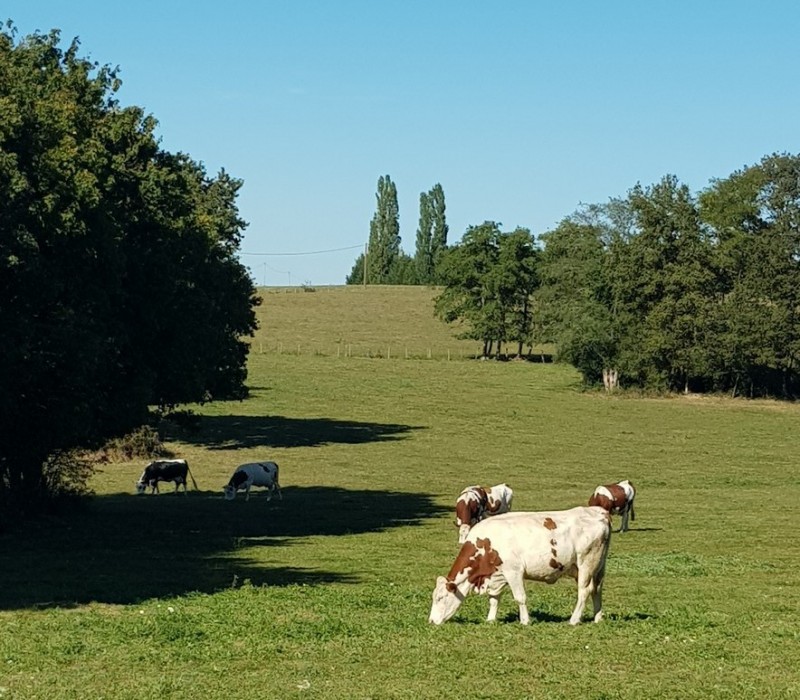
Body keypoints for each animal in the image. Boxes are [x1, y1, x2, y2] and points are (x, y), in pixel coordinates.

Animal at [432, 506, 612, 628]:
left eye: (440, 598)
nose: (431, 621)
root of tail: (598, 511)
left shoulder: (513, 571)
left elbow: (520, 597)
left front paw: (525, 621)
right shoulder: (497, 575)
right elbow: (494, 599)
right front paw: (490, 619)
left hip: (586, 563)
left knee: (584, 591)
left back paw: (574, 620)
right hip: (598, 566)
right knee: (597, 589)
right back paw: (598, 618)